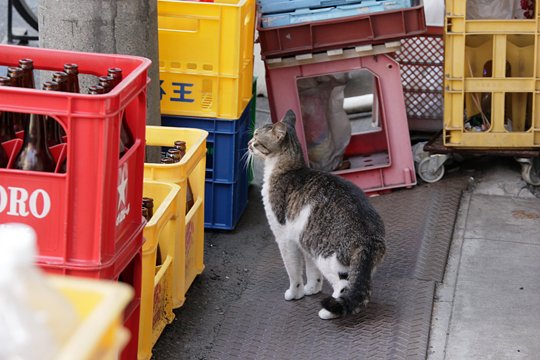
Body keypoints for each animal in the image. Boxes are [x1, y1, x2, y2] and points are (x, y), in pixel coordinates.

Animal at [247, 110, 386, 320]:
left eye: (256, 138)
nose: (248, 143)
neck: (286, 167)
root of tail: (369, 239)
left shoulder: (285, 239)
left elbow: (293, 272)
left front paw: (295, 293)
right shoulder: (304, 239)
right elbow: (312, 272)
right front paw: (312, 289)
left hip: (327, 258)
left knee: (343, 287)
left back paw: (328, 312)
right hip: (347, 261)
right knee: (359, 287)